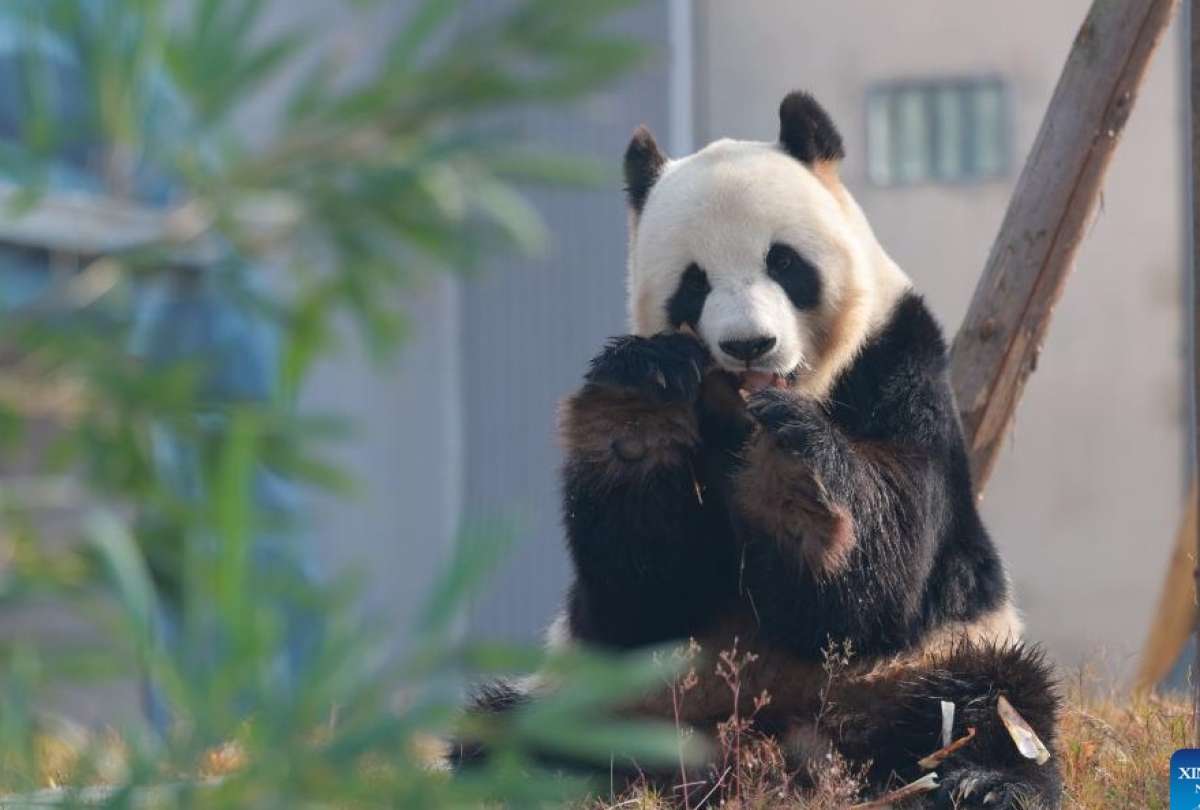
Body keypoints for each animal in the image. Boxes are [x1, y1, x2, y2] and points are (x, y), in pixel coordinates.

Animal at [460, 91, 1061, 810]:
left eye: (785, 263)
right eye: (694, 282)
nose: (749, 345)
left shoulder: (898, 361)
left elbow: (883, 572)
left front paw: (795, 480)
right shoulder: (627, 626)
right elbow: (641, 591)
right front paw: (639, 417)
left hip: (919, 665)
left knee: (991, 703)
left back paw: (983, 782)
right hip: (608, 697)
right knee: (510, 736)